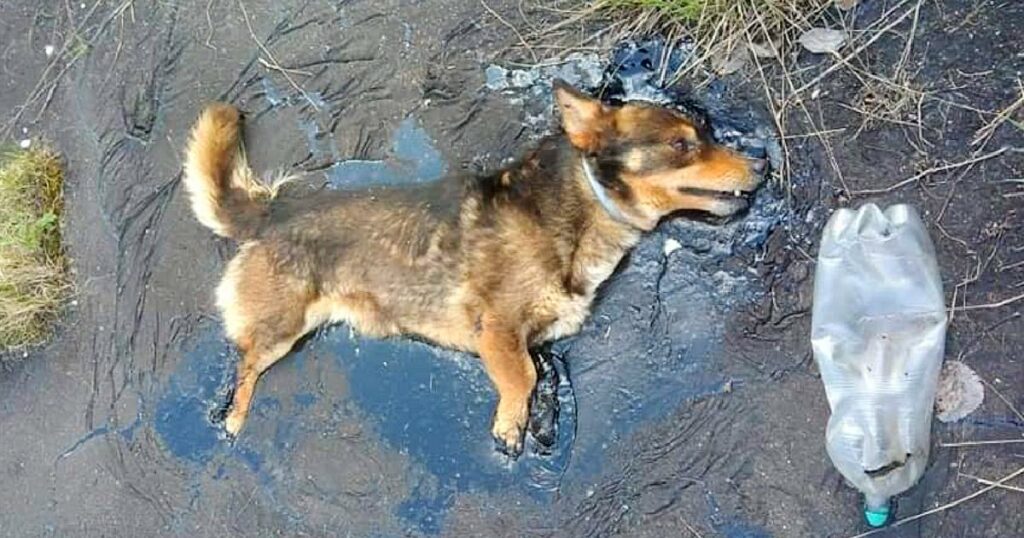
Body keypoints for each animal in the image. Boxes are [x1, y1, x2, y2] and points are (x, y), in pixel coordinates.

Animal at [182, 79, 761, 454]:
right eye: (682, 144)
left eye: (706, 135)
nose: (765, 165)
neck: (580, 207)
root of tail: (272, 210)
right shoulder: (497, 328)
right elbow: (522, 377)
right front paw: (511, 426)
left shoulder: (536, 338)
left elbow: (538, 372)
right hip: (280, 329)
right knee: (245, 366)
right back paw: (232, 418)